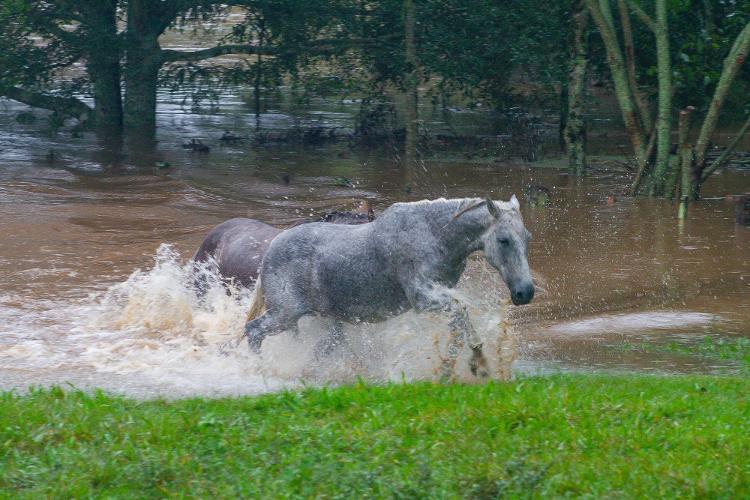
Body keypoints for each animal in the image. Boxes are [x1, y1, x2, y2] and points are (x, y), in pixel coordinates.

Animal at [245, 195, 536, 378]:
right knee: (253, 331)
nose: (525, 292)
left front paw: (451, 369)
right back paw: (259, 371)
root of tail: (269, 252)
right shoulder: (422, 298)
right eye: (503, 239)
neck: (434, 235)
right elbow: (462, 310)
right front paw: (478, 361)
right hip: (284, 314)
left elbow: (458, 324)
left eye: (526, 238)